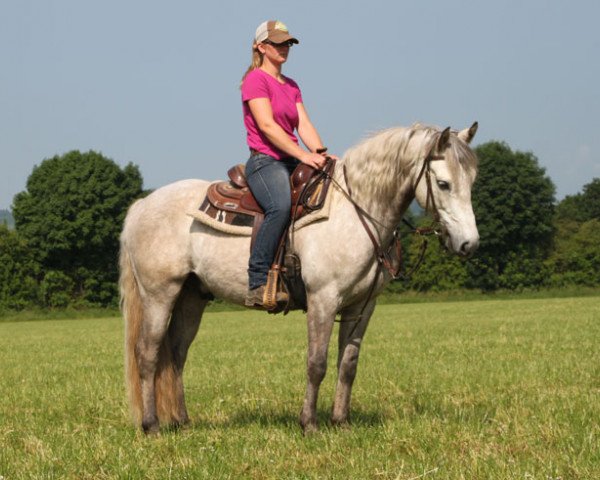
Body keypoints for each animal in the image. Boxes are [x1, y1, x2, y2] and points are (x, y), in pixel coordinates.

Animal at [119, 122, 480, 434]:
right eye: (444, 183)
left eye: (472, 181)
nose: (469, 244)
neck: (355, 210)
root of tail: (142, 205)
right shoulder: (323, 298)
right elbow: (316, 363)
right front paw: (309, 424)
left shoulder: (362, 306)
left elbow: (348, 364)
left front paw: (341, 421)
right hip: (159, 294)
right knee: (147, 354)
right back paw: (151, 426)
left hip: (192, 297)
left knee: (177, 354)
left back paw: (182, 421)